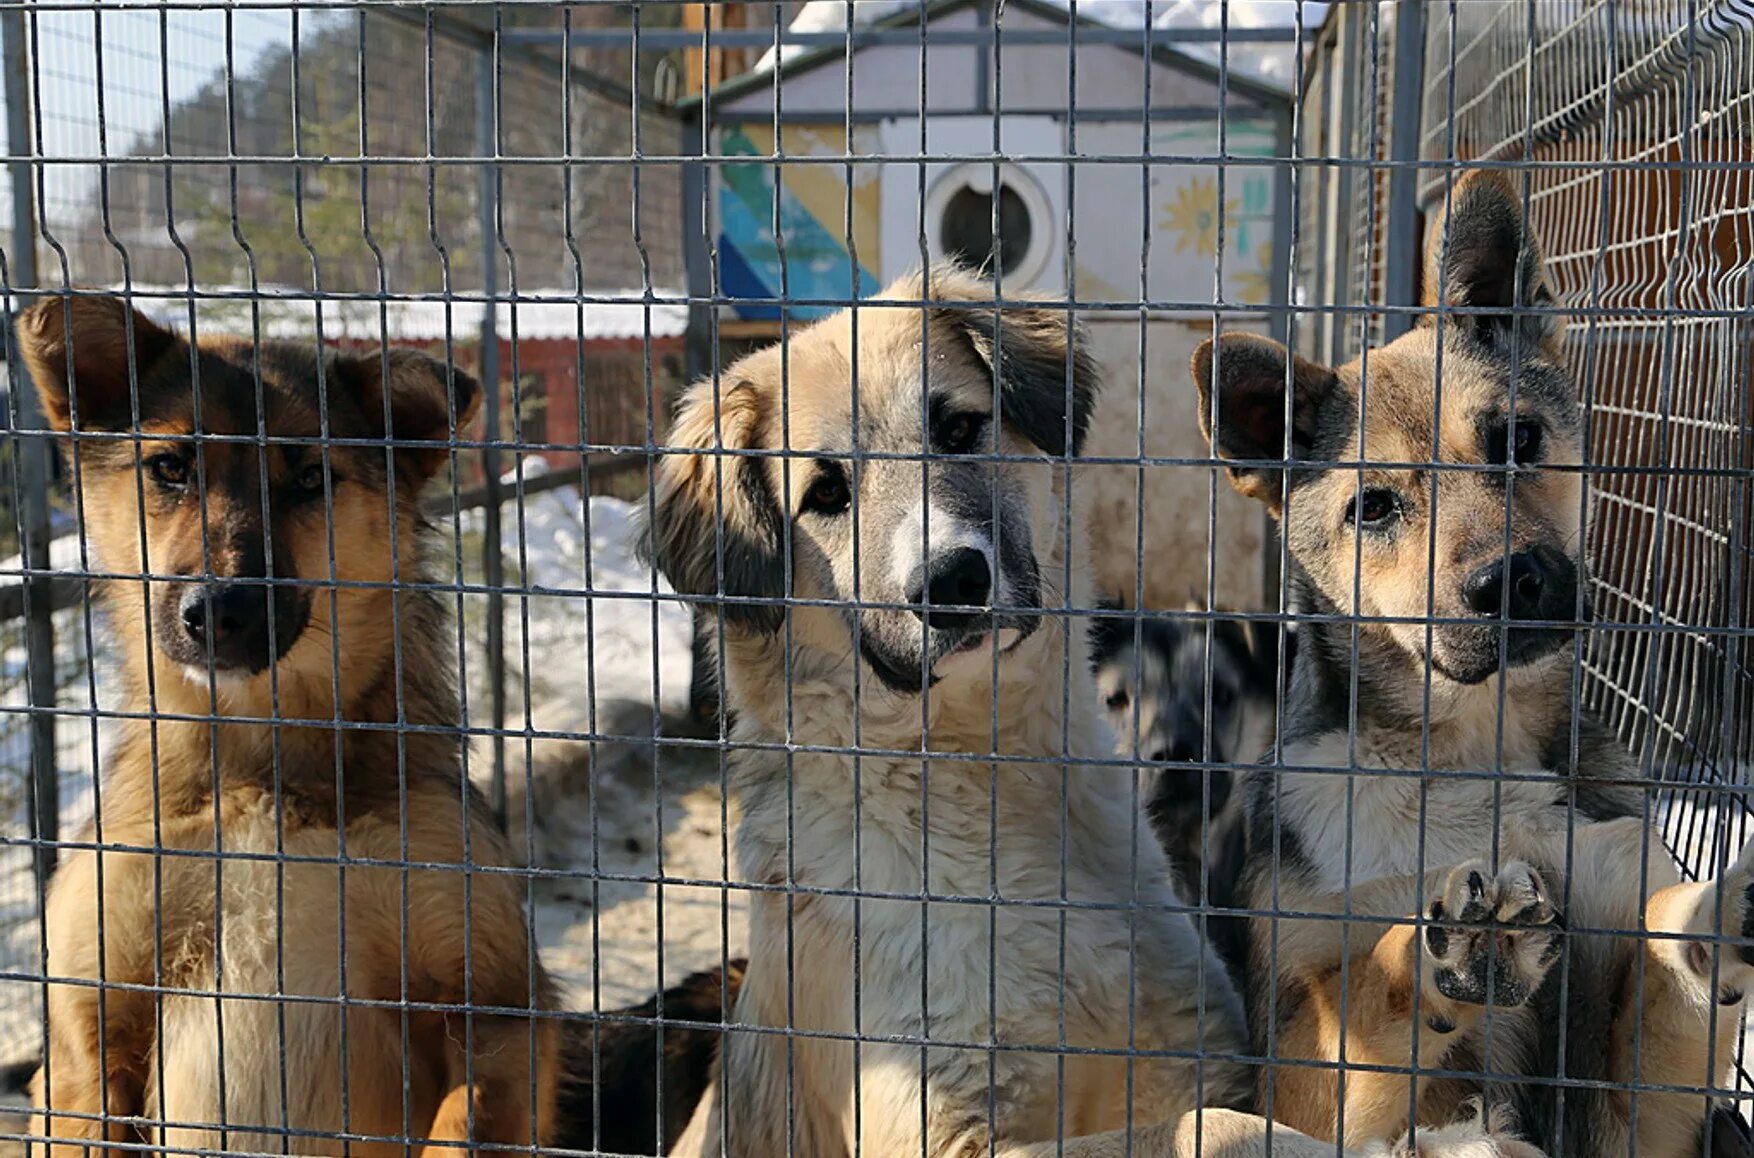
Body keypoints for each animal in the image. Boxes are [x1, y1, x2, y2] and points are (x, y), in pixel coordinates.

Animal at [17, 296, 557, 1158]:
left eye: (309, 479)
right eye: (170, 467)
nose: (220, 611)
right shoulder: (86, 1042)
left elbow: (463, 1115)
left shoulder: (498, 1011)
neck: (260, 773)